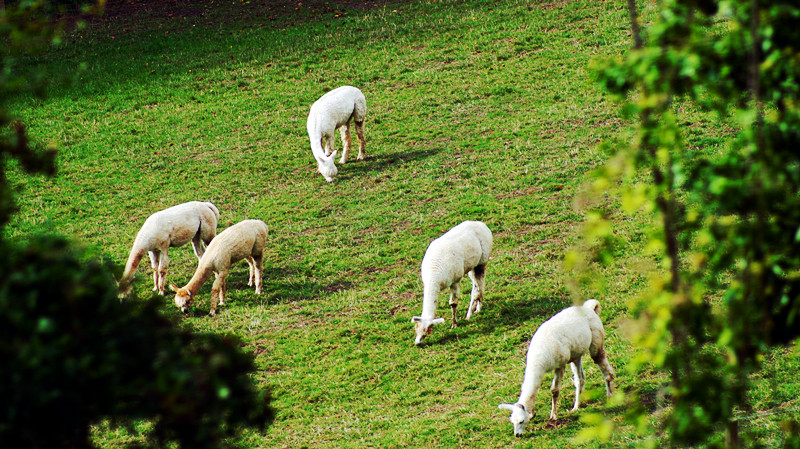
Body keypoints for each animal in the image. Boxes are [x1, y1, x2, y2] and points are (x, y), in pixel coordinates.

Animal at [496, 300, 616, 436]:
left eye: (521, 421)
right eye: (512, 421)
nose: (517, 435)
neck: (539, 357)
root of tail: (589, 308)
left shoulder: (560, 364)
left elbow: (555, 390)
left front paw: (553, 416)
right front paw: (533, 413)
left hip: (596, 339)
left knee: (604, 366)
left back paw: (610, 396)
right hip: (575, 354)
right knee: (580, 379)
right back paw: (576, 406)